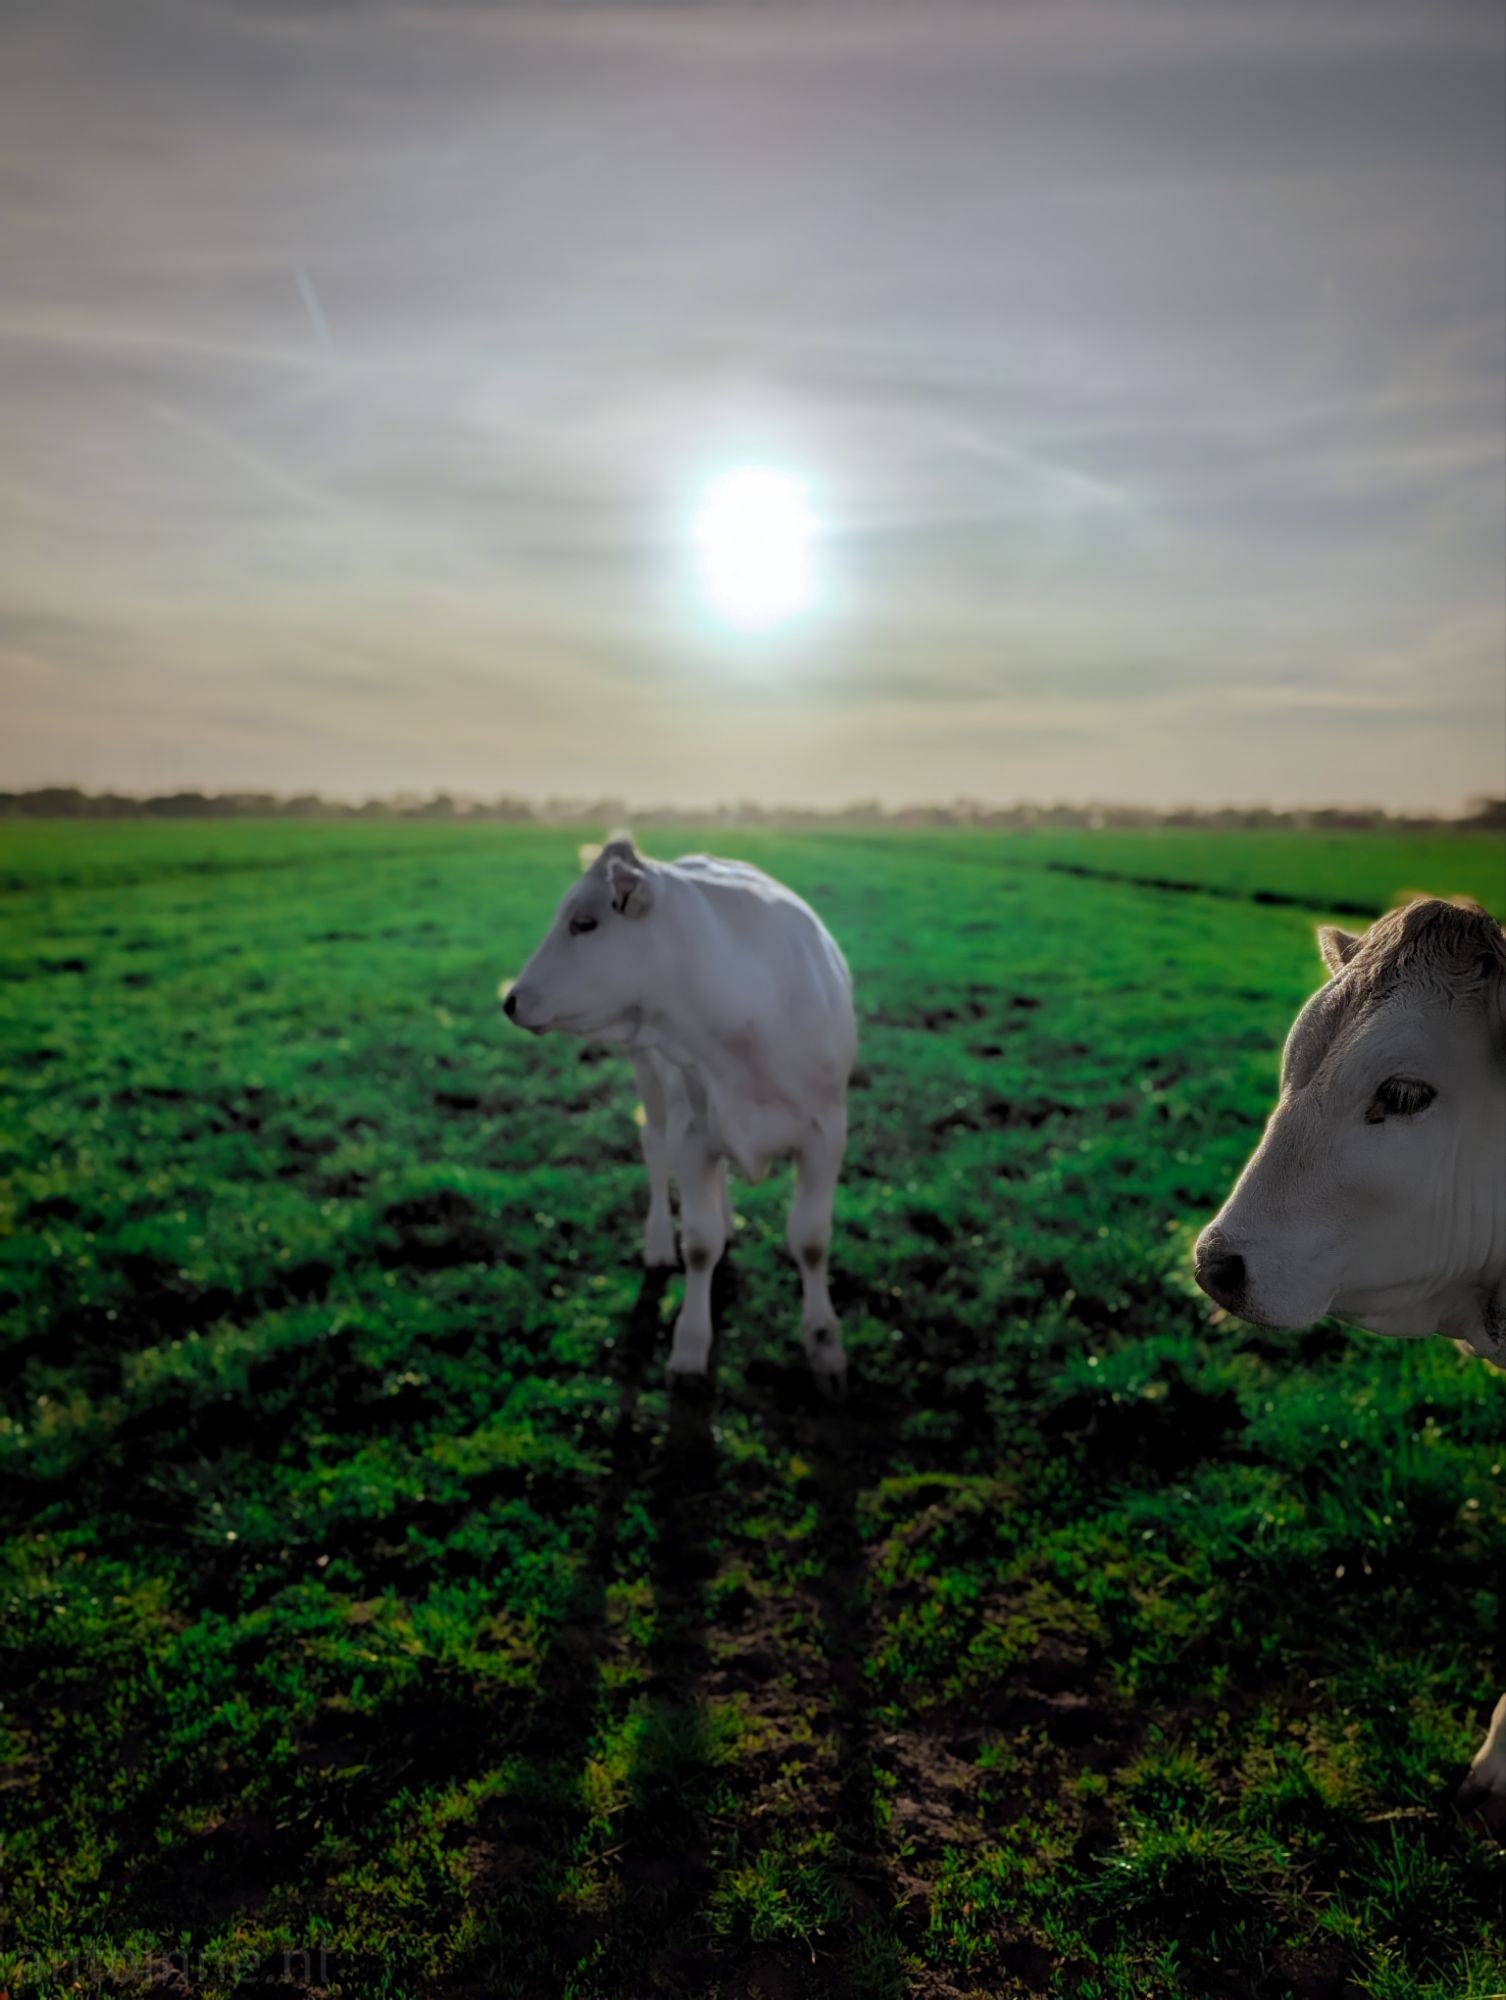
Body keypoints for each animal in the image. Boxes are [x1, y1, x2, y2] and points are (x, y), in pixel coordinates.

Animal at [502, 836, 857, 1392]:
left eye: (584, 923)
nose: (511, 1001)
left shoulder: (827, 1131)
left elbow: (812, 1240)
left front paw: (824, 1344)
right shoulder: (691, 1134)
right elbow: (699, 1245)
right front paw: (689, 1346)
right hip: (650, 1078)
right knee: (653, 1146)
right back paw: (657, 1243)